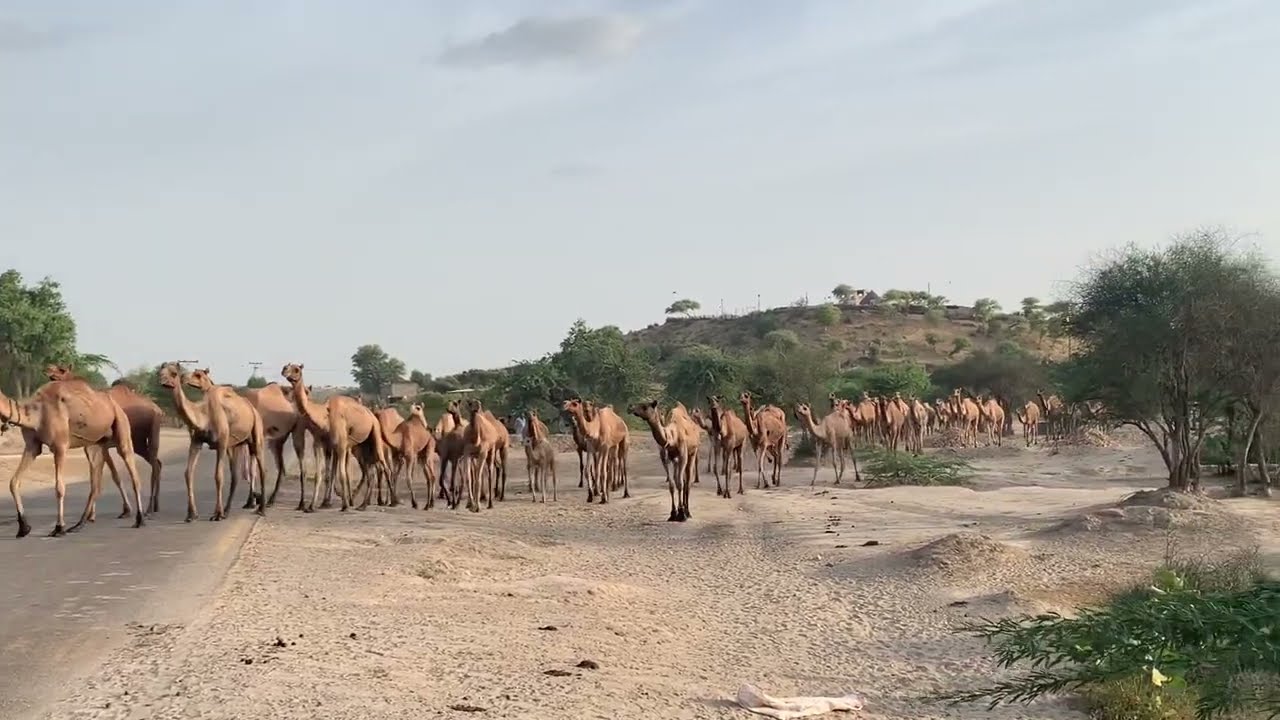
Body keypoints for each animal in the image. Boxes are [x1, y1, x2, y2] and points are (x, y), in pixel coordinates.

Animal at [1, 378, 146, 537]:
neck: (35, 413)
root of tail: (114, 404)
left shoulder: (60, 446)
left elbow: (59, 488)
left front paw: (59, 528)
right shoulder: (32, 446)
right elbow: (13, 482)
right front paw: (23, 528)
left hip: (121, 426)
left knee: (133, 474)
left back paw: (140, 520)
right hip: (95, 443)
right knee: (95, 484)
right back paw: (78, 525)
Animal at [44, 365, 164, 518]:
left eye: (61, 370)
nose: (48, 369)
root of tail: (157, 409)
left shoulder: (103, 445)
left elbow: (113, 476)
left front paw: (125, 510)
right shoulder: (96, 445)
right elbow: (97, 475)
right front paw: (92, 515)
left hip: (151, 432)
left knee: (154, 465)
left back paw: (148, 509)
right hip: (139, 442)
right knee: (158, 463)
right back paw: (156, 506)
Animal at [281, 364, 389, 512]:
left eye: (297, 369)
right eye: (287, 365)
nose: (284, 370)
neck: (325, 417)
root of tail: (371, 413)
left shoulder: (341, 445)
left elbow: (342, 474)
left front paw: (345, 505)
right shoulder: (321, 444)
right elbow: (321, 474)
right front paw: (312, 506)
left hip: (375, 432)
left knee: (383, 465)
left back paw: (391, 501)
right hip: (363, 446)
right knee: (370, 472)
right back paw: (363, 505)